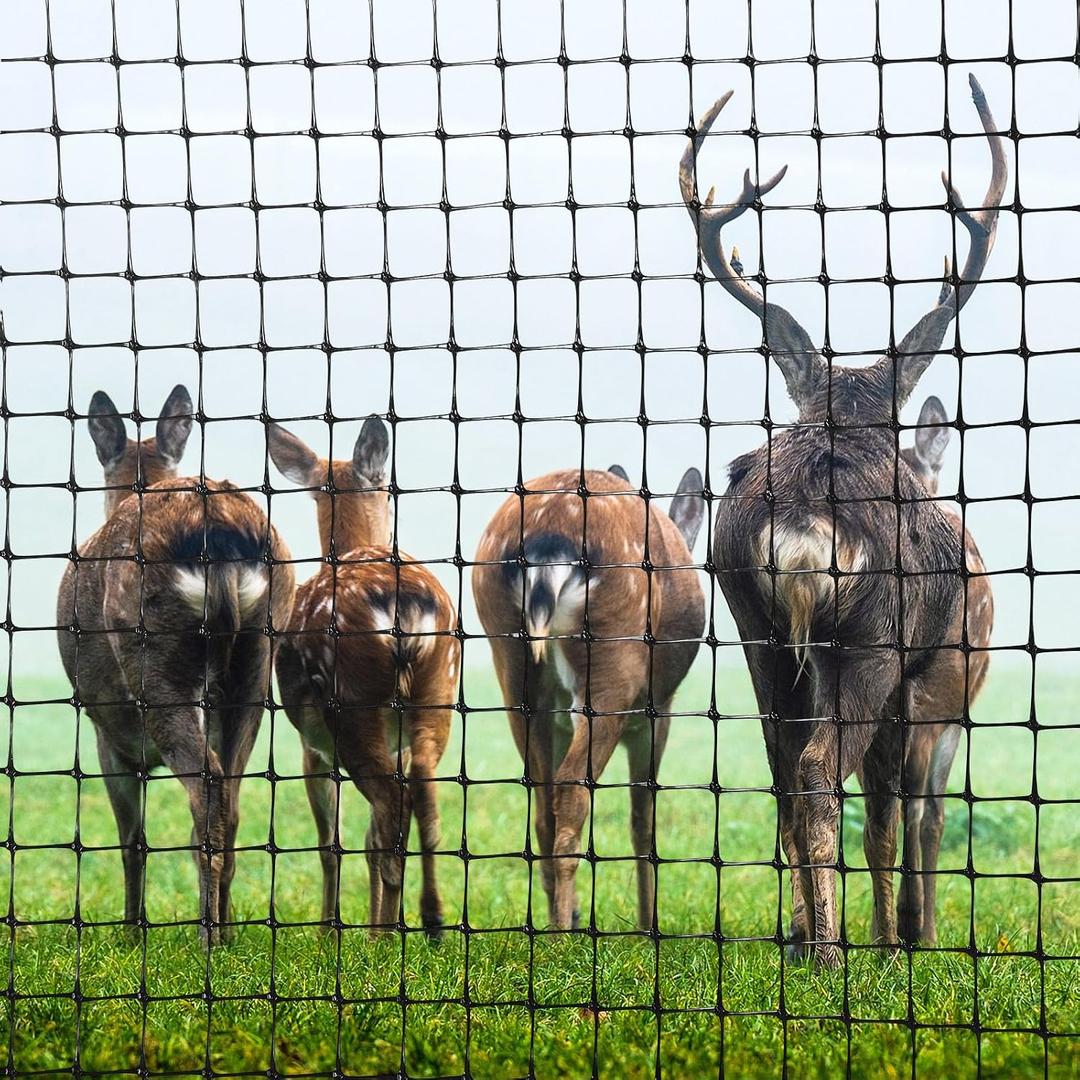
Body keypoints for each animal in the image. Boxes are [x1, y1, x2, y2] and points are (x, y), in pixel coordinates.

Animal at [56, 385, 296, 945]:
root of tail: (219, 532)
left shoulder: (108, 734)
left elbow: (132, 838)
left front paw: (130, 931)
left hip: (154, 661)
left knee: (206, 788)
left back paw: (207, 936)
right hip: (256, 660)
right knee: (232, 796)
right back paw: (226, 933)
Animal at [267, 418, 458, 937]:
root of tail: (403, 607)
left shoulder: (310, 746)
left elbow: (330, 842)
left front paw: (327, 931)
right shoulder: (398, 742)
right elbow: (369, 837)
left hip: (351, 700)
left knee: (391, 807)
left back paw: (390, 932)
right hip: (437, 686)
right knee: (420, 793)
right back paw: (429, 918)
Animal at [472, 465, 706, 930]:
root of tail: (548, 540)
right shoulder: (657, 713)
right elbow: (643, 818)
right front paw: (647, 923)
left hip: (511, 663)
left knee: (542, 800)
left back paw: (557, 920)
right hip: (615, 659)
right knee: (570, 790)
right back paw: (563, 932)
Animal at [681, 74, 1006, 966]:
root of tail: (800, 518)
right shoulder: (916, 679)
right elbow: (892, 816)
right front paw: (894, 943)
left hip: (757, 632)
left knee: (783, 773)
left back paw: (802, 939)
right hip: (869, 642)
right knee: (825, 773)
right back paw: (833, 954)